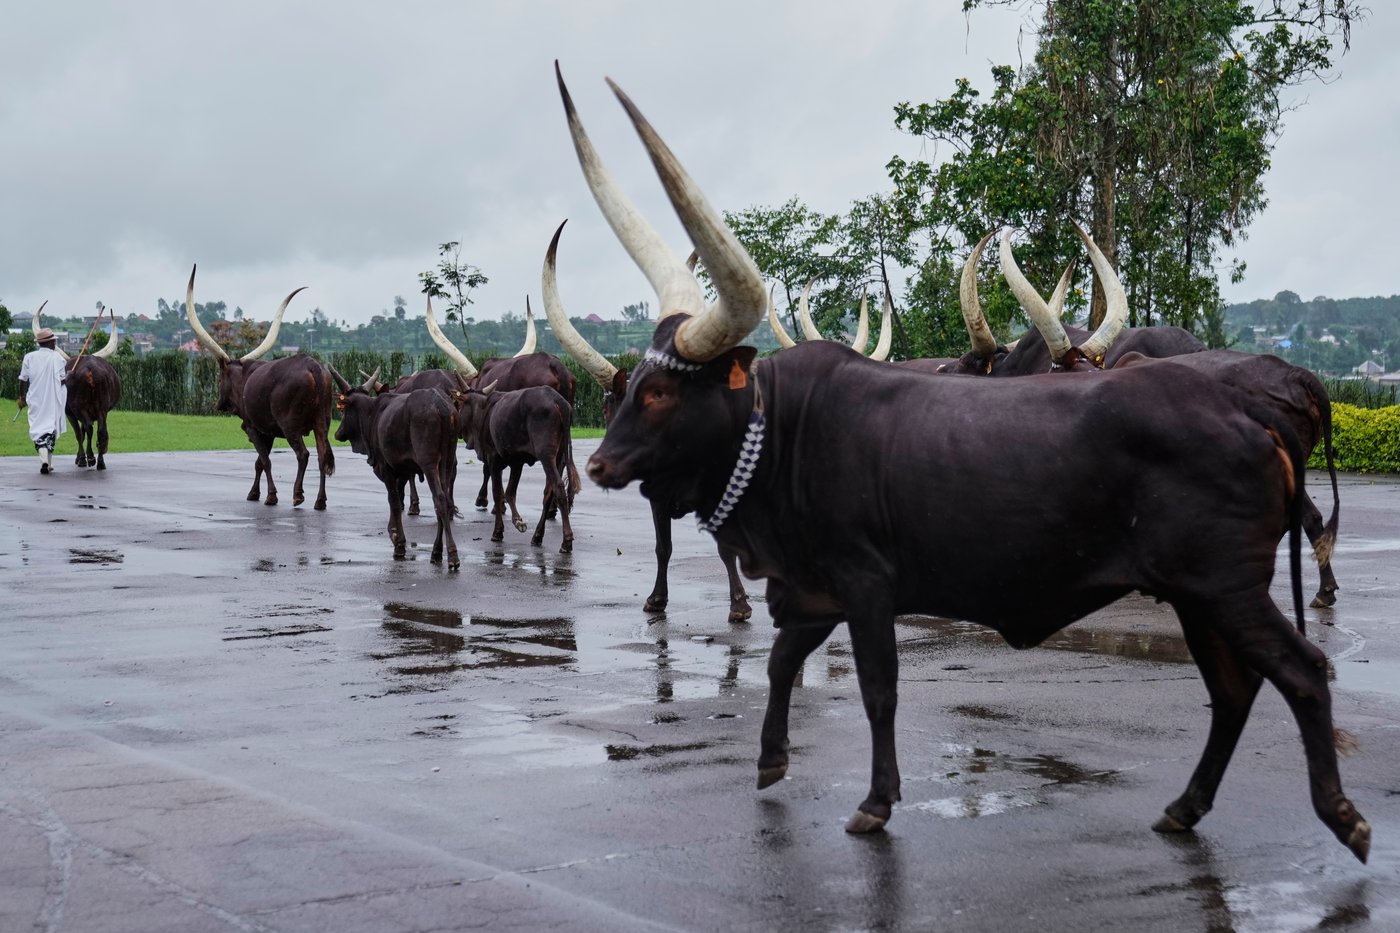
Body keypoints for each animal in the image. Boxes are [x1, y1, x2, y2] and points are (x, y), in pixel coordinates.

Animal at [32, 309, 123, 470]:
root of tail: (91, 369)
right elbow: (86, 431)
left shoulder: (70, 413)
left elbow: (79, 433)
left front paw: (81, 458)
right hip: (102, 408)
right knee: (100, 431)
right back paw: (100, 462)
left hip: (79, 408)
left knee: (88, 429)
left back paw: (90, 458)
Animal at [184, 266, 335, 509]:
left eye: (219, 380)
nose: (218, 405)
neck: (243, 378)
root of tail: (312, 365)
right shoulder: (268, 431)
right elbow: (259, 462)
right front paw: (254, 493)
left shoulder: (253, 428)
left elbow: (265, 460)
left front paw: (270, 496)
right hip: (323, 423)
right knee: (322, 456)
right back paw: (320, 501)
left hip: (291, 426)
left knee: (303, 454)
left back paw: (298, 494)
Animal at [330, 368, 461, 569]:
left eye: (343, 409)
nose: (337, 433)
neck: (373, 415)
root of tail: (442, 406)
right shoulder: (404, 470)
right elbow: (398, 498)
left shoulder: (386, 468)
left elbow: (393, 501)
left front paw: (398, 541)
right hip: (446, 462)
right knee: (446, 501)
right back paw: (436, 552)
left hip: (429, 463)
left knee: (439, 499)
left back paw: (452, 555)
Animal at [456, 379, 578, 553]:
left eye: (459, 405)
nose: (456, 427)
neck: (484, 410)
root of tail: (557, 400)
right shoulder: (517, 462)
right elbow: (510, 492)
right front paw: (518, 521)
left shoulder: (493, 459)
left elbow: (498, 493)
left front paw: (498, 532)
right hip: (559, 457)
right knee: (548, 493)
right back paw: (537, 536)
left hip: (546, 455)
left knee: (558, 488)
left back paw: (566, 542)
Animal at [556, 67, 1370, 861]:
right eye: (629, 387)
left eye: (660, 390)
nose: (599, 466)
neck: (784, 429)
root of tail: (1254, 407)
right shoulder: (814, 589)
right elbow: (782, 661)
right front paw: (771, 759)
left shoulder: (865, 584)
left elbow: (878, 688)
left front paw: (876, 800)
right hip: (1199, 595)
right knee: (1235, 689)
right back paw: (1185, 806)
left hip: (1227, 588)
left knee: (1300, 669)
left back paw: (1341, 815)